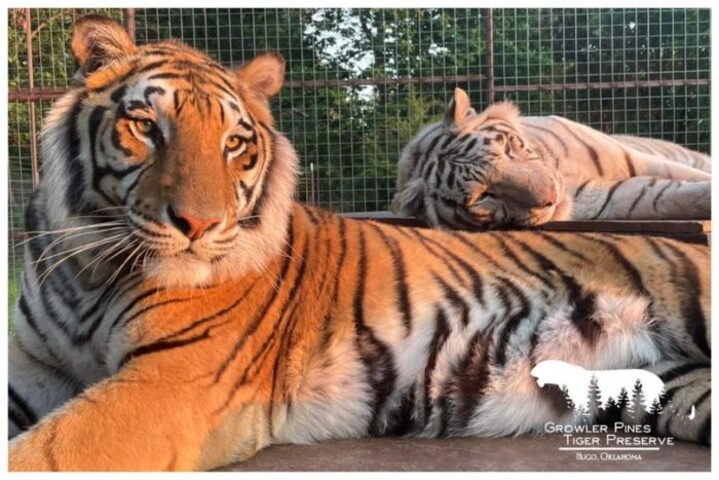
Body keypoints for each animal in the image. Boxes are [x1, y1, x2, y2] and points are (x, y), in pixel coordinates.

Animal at [391, 88, 711, 230]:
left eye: (508, 148)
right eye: (484, 196)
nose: (552, 197)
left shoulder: (635, 158)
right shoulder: (606, 197)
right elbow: (667, 197)